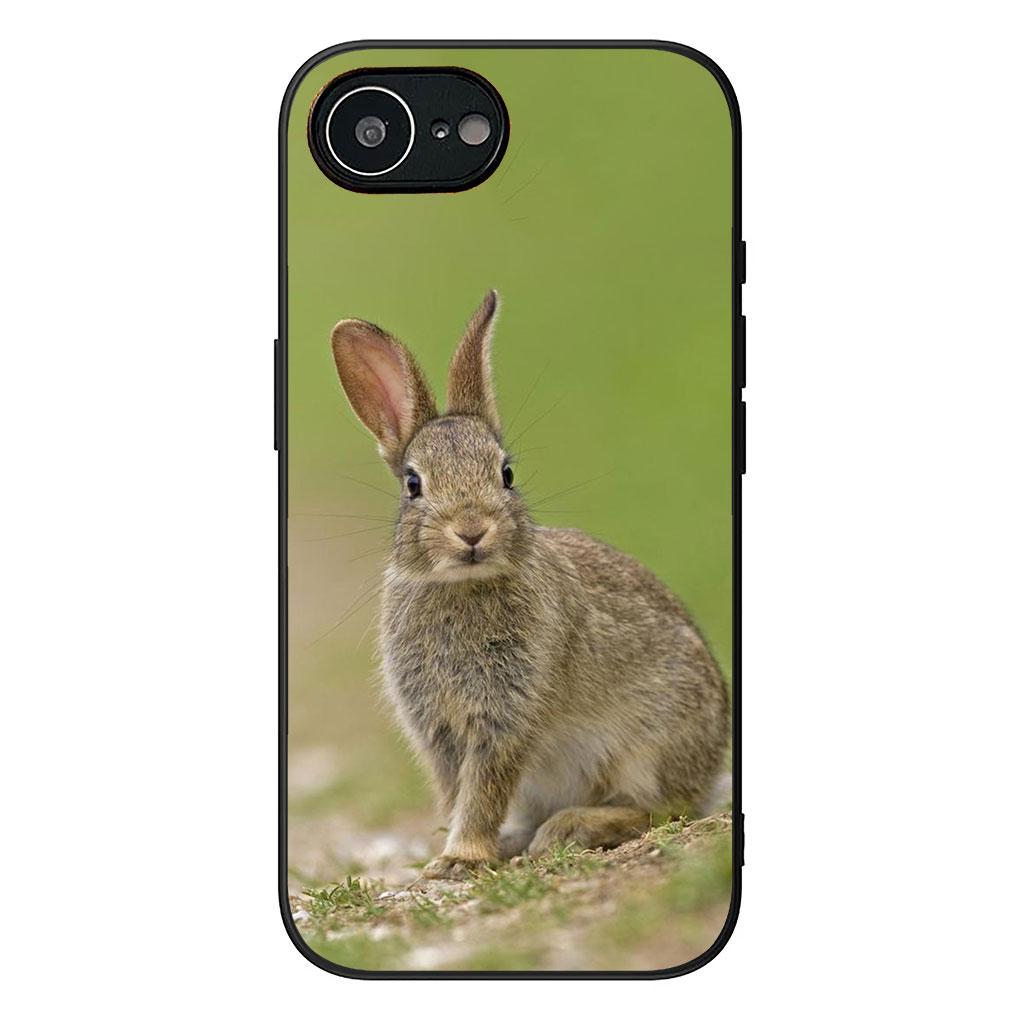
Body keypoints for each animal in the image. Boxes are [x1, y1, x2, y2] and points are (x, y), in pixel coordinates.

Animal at [330, 291, 730, 878]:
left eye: (506, 474)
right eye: (413, 484)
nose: (472, 529)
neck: (464, 586)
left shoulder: (506, 714)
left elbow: (482, 789)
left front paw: (461, 857)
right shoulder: (438, 728)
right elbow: (458, 793)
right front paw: (457, 856)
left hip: (649, 745)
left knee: (660, 809)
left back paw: (568, 828)